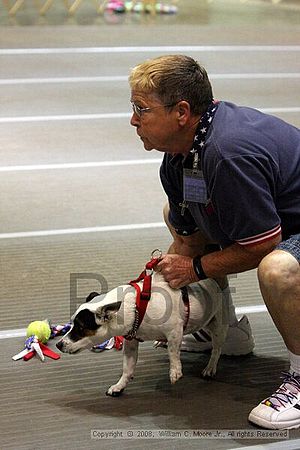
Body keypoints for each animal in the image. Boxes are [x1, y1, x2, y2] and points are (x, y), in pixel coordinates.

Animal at [56, 272, 227, 396]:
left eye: (80, 328)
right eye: (72, 324)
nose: (58, 344)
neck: (136, 307)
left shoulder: (175, 331)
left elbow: (173, 352)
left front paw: (175, 371)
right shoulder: (131, 342)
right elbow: (127, 368)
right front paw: (119, 386)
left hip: (217, 325)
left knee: (217, 348)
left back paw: (210, 367)